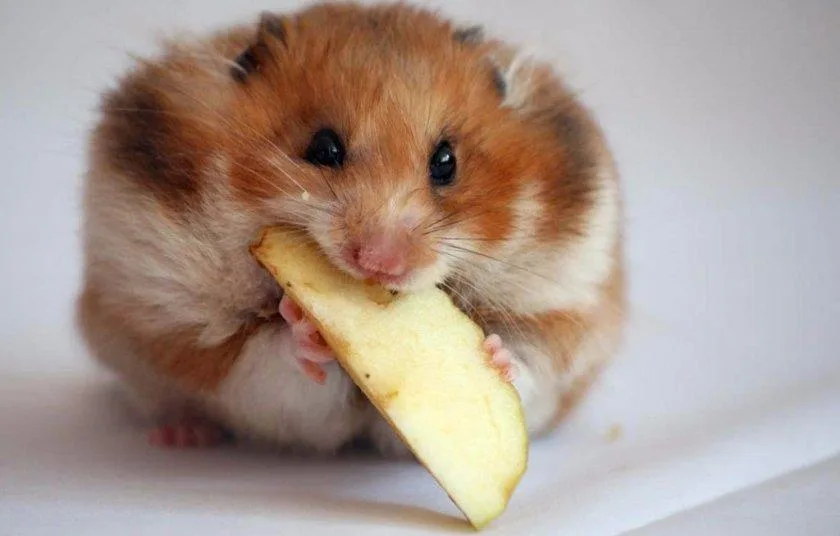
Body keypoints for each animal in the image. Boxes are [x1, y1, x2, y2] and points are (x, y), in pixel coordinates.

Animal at [77, 2, 626, 455]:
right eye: (323, 148)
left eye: (446, 162)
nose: (381, 264)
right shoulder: (210, 346)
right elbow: (269, 362)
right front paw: (304, 329)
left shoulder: (565, 308)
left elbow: (533, 361)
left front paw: (495, 357)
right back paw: (181, 435)